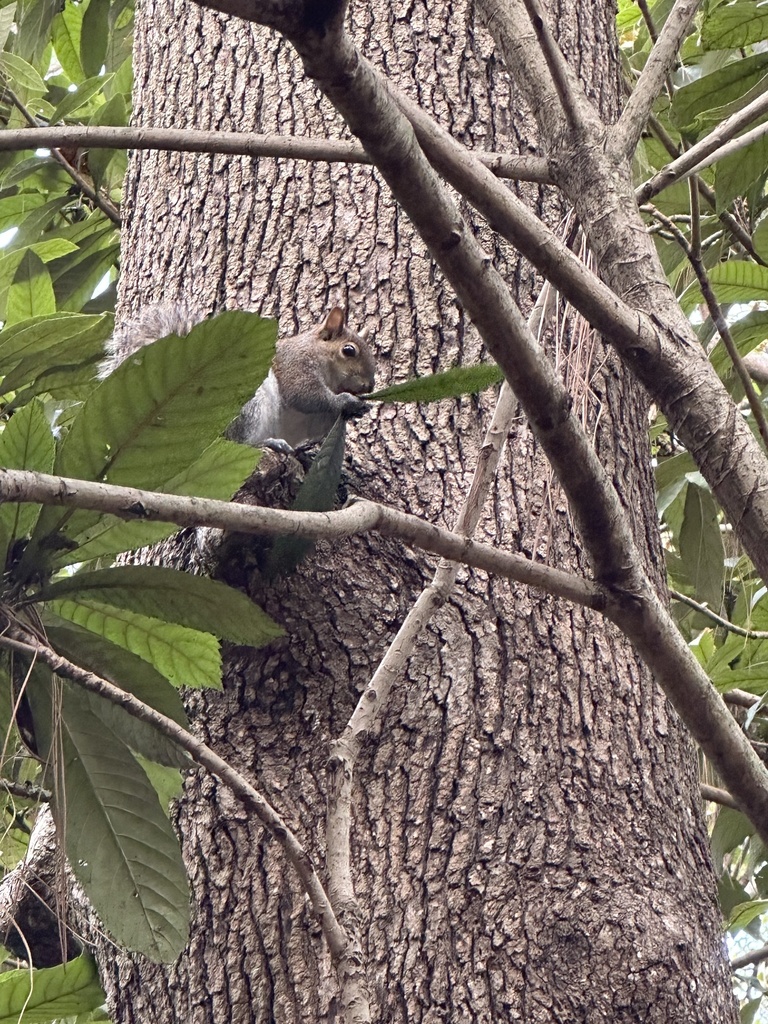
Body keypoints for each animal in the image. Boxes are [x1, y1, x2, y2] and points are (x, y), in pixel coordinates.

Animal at [99, 302, 377, 449]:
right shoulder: (295, 365)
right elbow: (306, 395)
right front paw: (346, 401)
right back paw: (268, 443)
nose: (369, 387)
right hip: (251, 404)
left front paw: (358, 408)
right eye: (348, 350)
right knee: (241, 441)